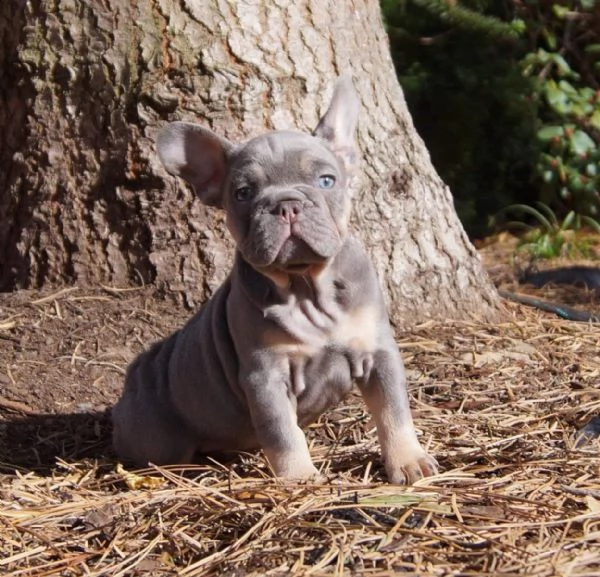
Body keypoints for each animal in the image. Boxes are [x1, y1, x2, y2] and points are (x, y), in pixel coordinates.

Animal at [112, 76, 438, 482]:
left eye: (326, 180)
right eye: (242, 193)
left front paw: (408, 460)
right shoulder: (265, 376)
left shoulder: (379, 354)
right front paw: (299, 477)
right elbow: (282, 431)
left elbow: (394, 412)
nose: (286, 204)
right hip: (156, 440)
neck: (308, 288)